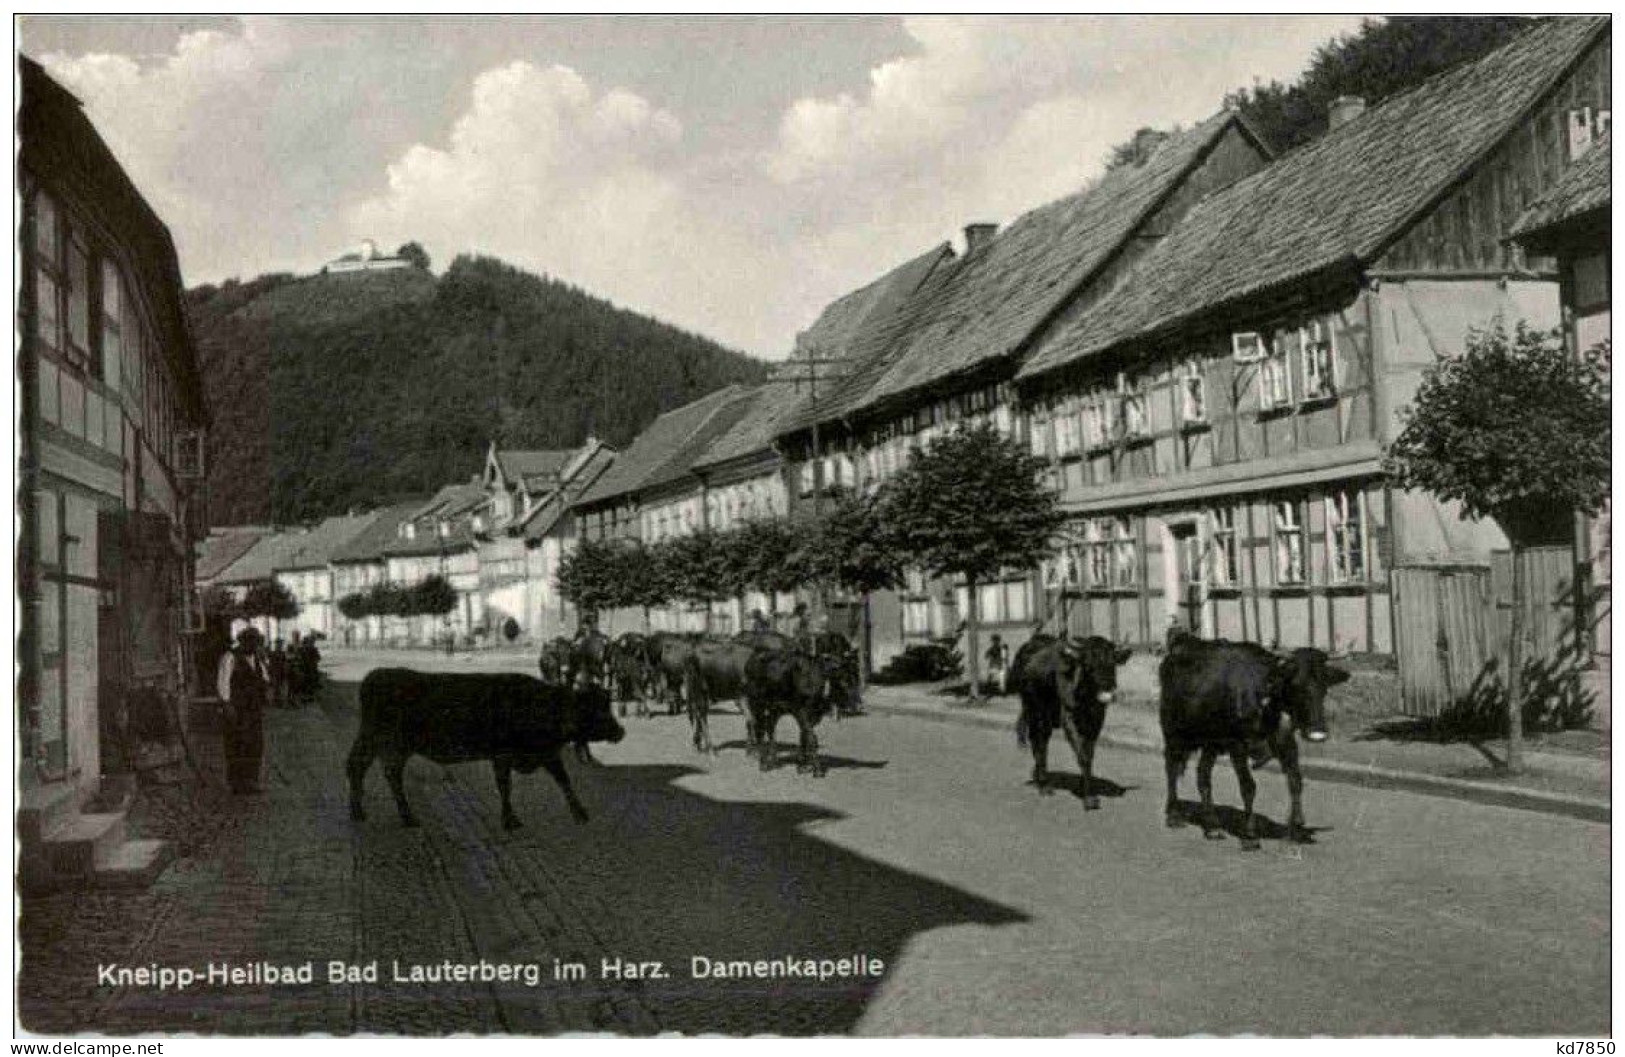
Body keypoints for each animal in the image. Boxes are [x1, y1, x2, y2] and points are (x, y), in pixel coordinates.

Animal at [347, 666, 620, 832]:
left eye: (607, 705)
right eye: (597, 711)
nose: (620, 732)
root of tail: (377, 675)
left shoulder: (547, 754)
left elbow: (564, 780)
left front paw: (580, 813)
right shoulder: (503, 755)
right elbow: (505, 786)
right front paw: (510, 820)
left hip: (378, 743)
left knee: (361, 768)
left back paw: (362, 812)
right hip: (390, 743)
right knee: (379, 771)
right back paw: (403, 817)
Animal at [1007, 634, 1137, 806]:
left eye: (1112, 663)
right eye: (1088, 665)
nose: (1107, 692)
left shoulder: (1097, 719)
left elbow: (1088, 754)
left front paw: (1087, 790)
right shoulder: (1068, 717)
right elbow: (1082, 755)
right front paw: (1088, 798)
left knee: (1041, 740)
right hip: (1034, 709)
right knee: (1038, 741)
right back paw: (1043, 784)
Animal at [1163, 634, 1352, 845]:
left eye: (1324, 685)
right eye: (1295, 684)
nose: (1317, 733)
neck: (1264, 699)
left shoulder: (1286, 742)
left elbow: (1295, 780)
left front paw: (1296, 824)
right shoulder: (1237, 746)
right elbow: (1248, 786)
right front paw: (1250, 834)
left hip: (1211, 744)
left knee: (1203, 775)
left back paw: (1212, 827)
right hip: (1173, 733)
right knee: (1171, 769)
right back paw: (1174, 816)